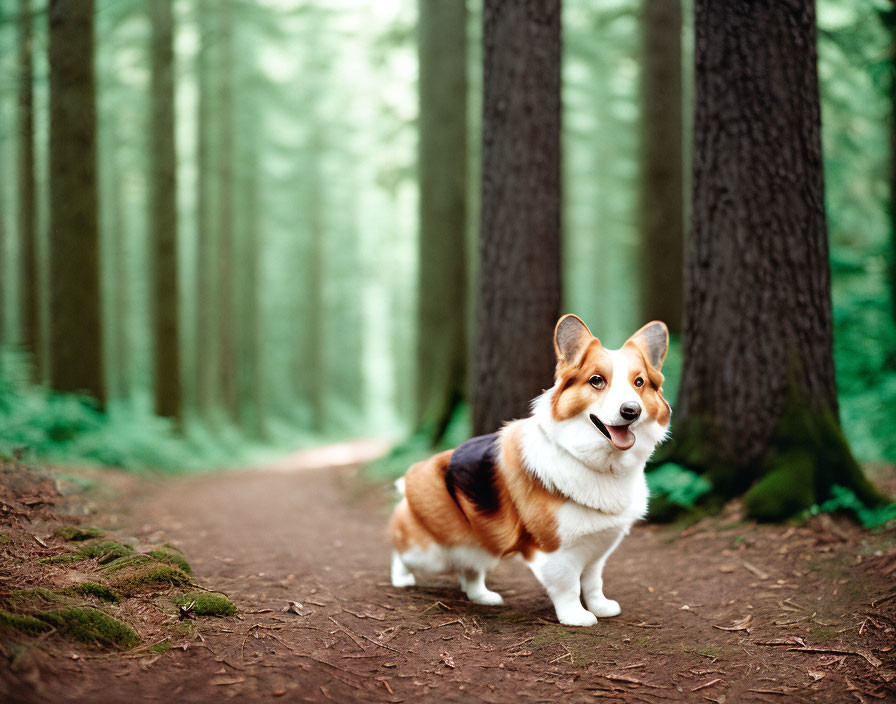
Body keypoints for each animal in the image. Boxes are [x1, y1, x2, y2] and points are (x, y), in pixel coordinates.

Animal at [388, 316, 668, 624]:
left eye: (639, 382)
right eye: (597, 380)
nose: (632, 410)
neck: (600, 465)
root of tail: (414, 474)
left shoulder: (597, 551)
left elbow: (593, 583)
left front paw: (600, 607)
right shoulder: (555, 552)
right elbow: (569, 587)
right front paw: (575, 617)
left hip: (477, 544)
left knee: (469, 569)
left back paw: (482, 596)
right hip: (430, 552)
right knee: (399, 550)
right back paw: (401, 578)